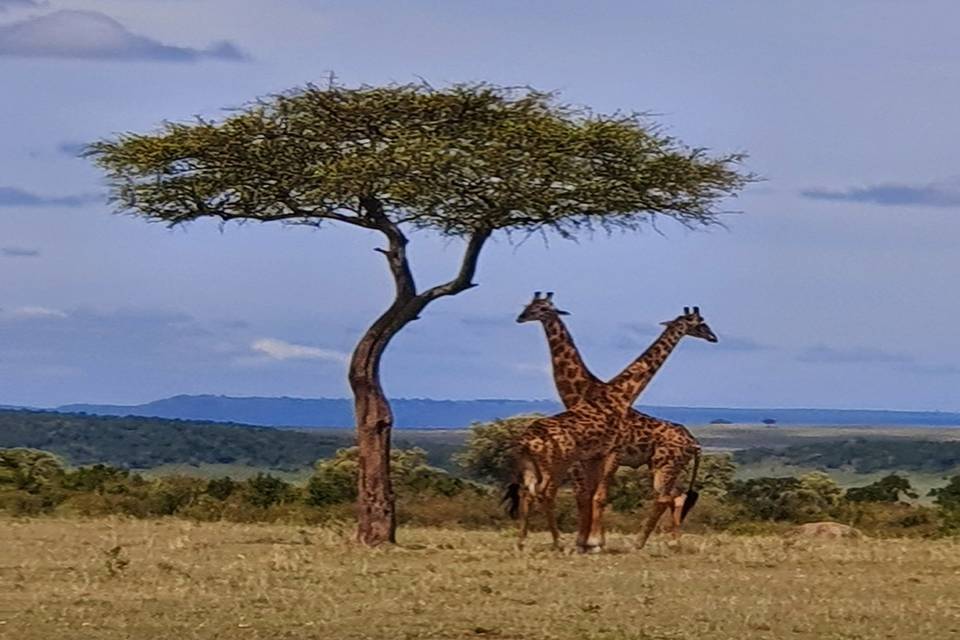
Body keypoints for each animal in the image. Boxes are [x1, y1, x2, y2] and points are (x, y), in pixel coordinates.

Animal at [506, 294, 716, 552]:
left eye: (542, 308)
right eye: (700, 323)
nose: (713, 336)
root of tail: (694, 442)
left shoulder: (608, 454)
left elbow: (595, 495)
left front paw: (592, 542)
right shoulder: (591, 458)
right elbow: (587, 495)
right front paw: (587, 541)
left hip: (665, 465)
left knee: (668, 497)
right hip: (661, 466)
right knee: (674, 497)